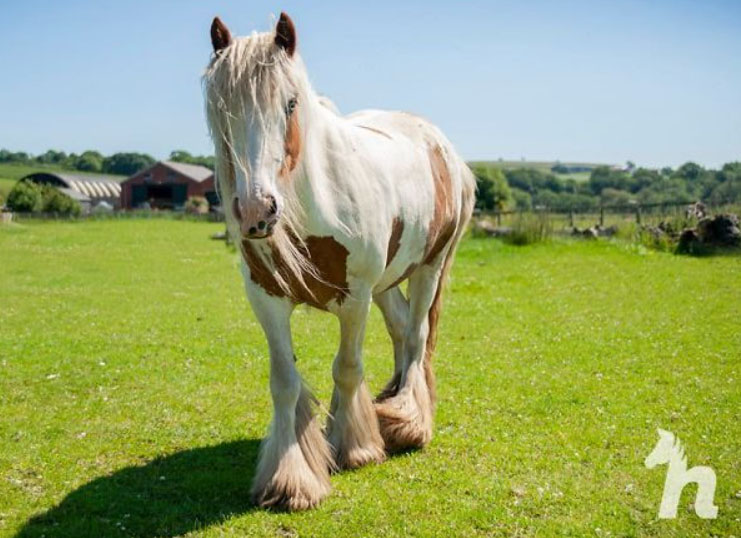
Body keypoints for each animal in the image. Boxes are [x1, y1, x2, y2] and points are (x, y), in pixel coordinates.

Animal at [201, 11, 474, 506]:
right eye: (222, 111)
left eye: (290, 104)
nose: (256, 211)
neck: (314, 203)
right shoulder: (266, 299)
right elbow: (284, 382)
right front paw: (290, 477)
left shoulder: (355, 299)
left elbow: (346, 369)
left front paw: (354, 448)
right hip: (388, 281)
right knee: (401, 328)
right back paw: (389, 405)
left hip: (428, 268)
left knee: (417, 335)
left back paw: (407, 422)